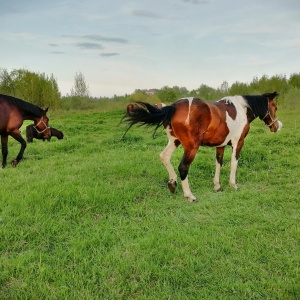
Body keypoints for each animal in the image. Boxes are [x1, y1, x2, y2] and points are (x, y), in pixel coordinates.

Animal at [123, 91, 282, 202]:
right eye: (275, 107)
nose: (277, 127)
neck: (242, 109)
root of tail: (173, 107)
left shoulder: (220, 145)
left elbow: (219, 164)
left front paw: (217, 186)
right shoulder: (238, 143)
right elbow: (233, 163)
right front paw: (233, 185)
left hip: (174, 141)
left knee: (164, 156)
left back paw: (172, 183)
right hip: (191, 147)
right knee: (183, 167)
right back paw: (189, 195)